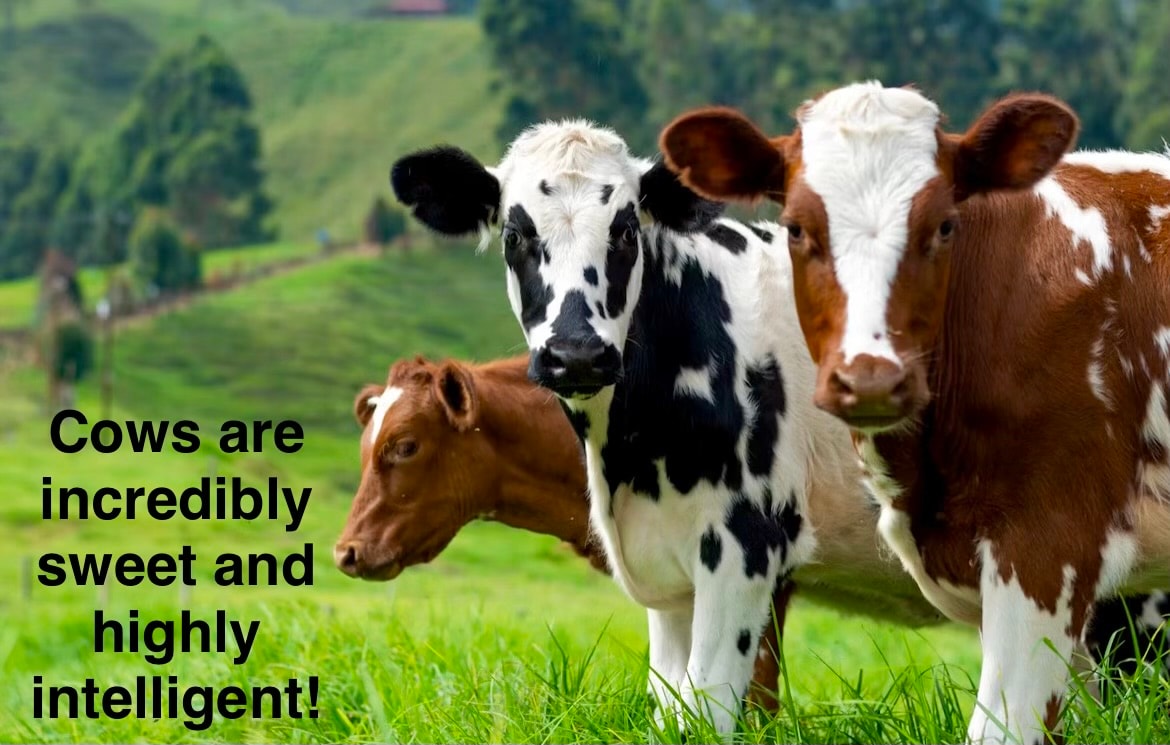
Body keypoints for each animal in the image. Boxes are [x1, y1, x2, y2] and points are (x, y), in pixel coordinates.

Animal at [387, 120, 962, 733]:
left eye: (625, 230)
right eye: (514, 235)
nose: (577, 355)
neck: (630, 460)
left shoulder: (747, 546)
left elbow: (706, 706)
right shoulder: (667, 578)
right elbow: (669, 706)